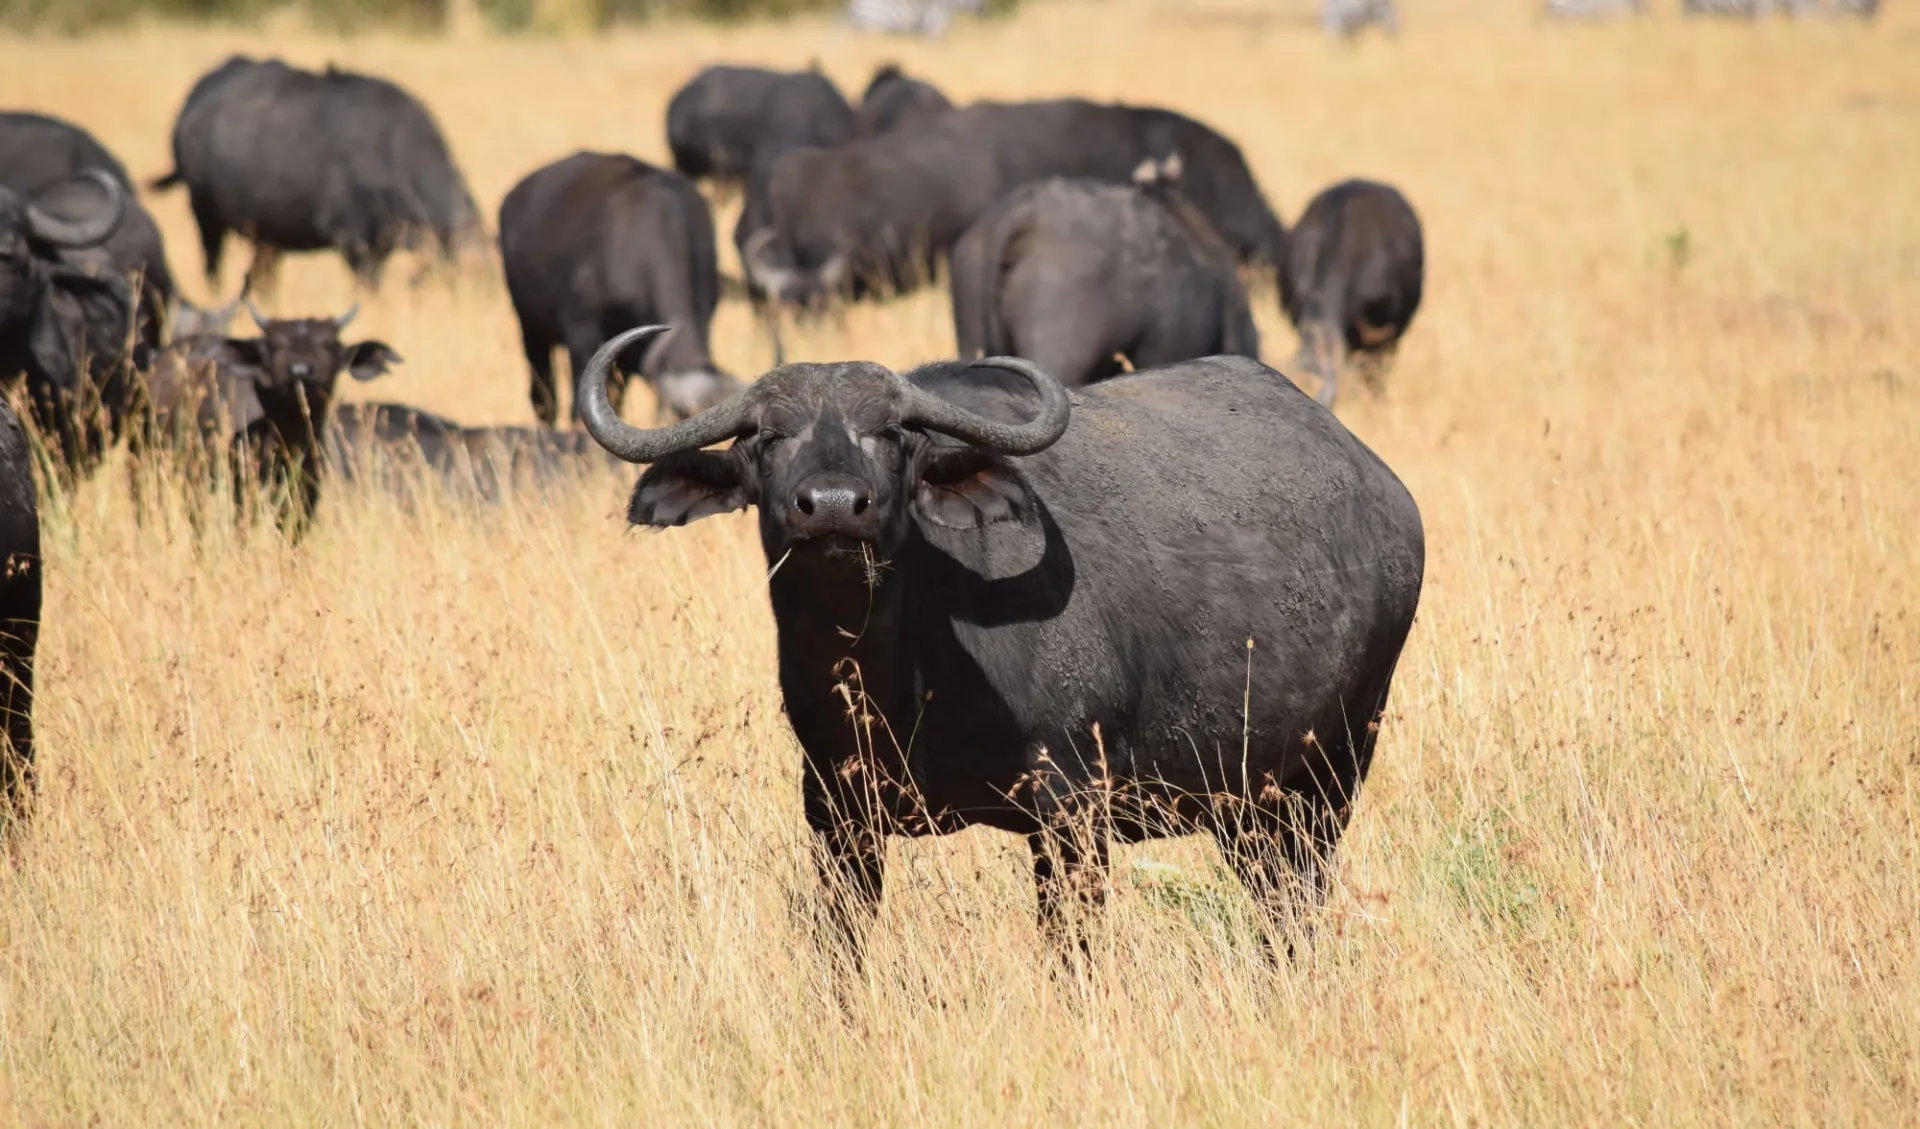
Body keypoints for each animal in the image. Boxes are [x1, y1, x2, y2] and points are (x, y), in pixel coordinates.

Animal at [150, 56, 481, 291]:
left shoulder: (383, 242)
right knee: (212, 265)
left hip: (265, 236)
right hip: (205, 216)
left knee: (259, 276)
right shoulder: (351, 239)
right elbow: (370, 286)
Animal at [577, 325, 1425, 963]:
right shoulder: (836, 813)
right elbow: (839, 949)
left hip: (1334, 771)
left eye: (895, 435)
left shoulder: (1071, 807)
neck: (892, 672)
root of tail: (1386, 494)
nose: (835, 506)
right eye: (765, 436)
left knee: (1294, 901)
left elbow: (1071, 950)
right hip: (1251, 804)